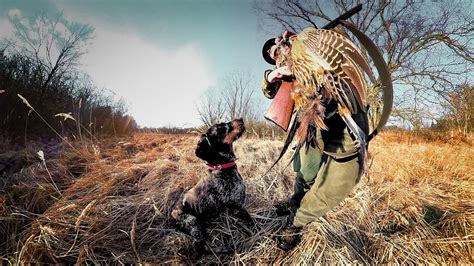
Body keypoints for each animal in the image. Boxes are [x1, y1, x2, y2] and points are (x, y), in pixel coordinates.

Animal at [170, 118, 252, 251]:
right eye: (220, 128)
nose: (240, 119)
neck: (222, 167)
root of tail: (171, 215)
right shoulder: (238, 207)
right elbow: (253, 224)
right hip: (193, 223)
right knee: (199, 248)